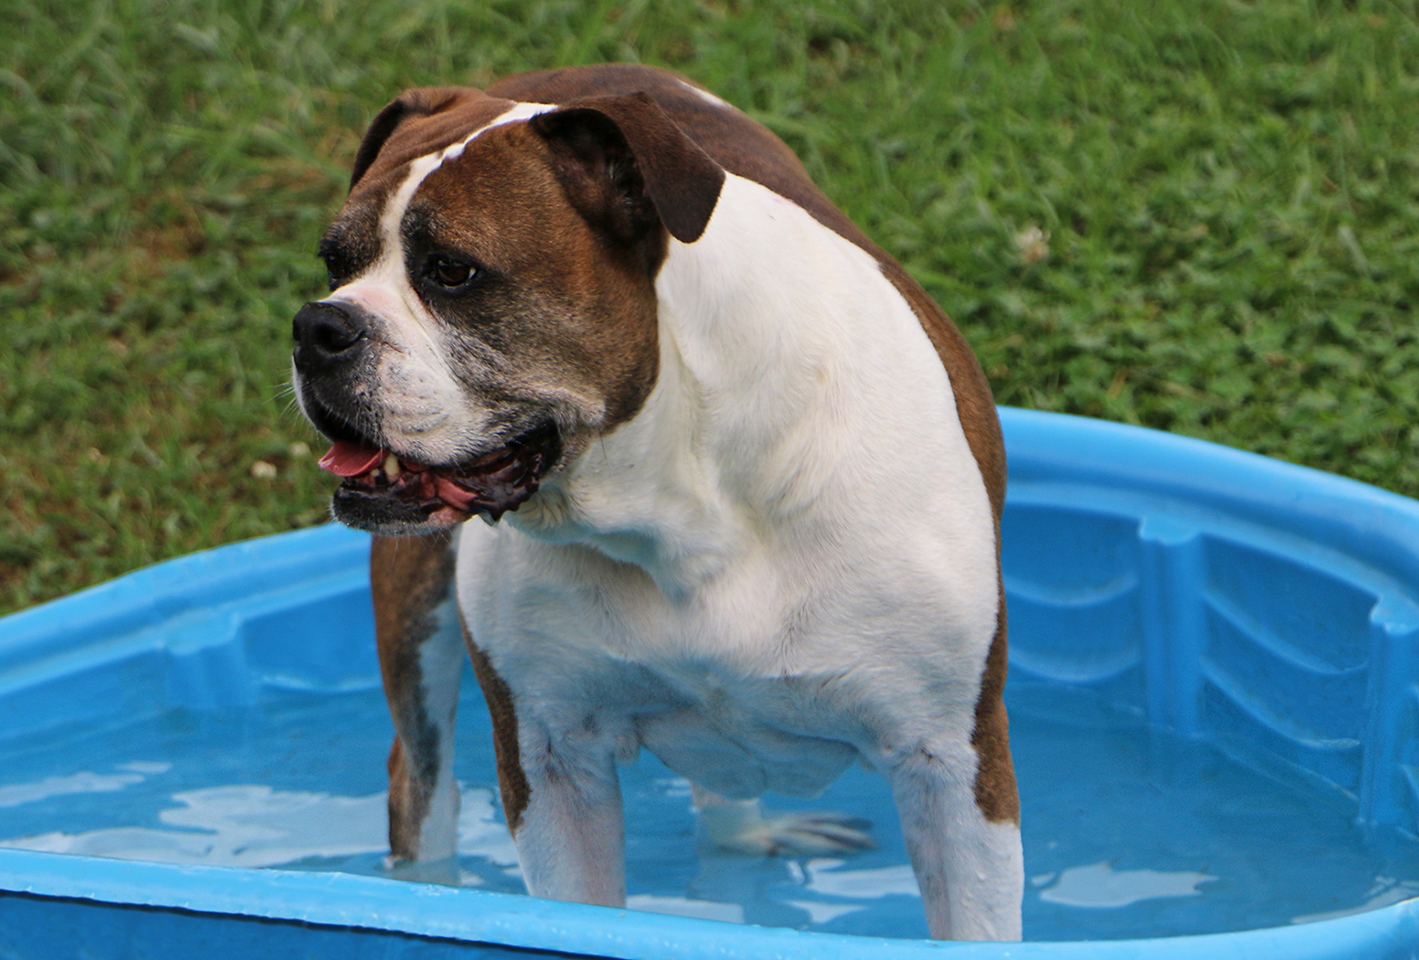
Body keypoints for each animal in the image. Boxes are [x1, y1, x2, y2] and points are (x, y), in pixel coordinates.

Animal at [290, 63, 1021, 941]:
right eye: (335, 262)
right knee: (422, 778)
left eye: (451, 271)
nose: (318, 325)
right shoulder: (552, 763)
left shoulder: (952, 768)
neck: (684, 497)